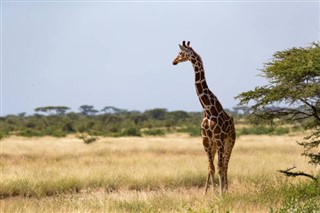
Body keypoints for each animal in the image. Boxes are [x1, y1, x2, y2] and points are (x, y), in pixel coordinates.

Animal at [172, 40, 235, 195]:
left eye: (180, 53)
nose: (173, 61)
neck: (207, 109)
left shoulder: (219, 138)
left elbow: (219, 167)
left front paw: (220, 194)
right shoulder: (205, 140)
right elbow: (210, 168)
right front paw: (210, 193)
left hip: (229, 141)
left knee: (226, 165)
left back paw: (226, 190)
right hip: (214, 144)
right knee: (215, 166)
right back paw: (211, 191)